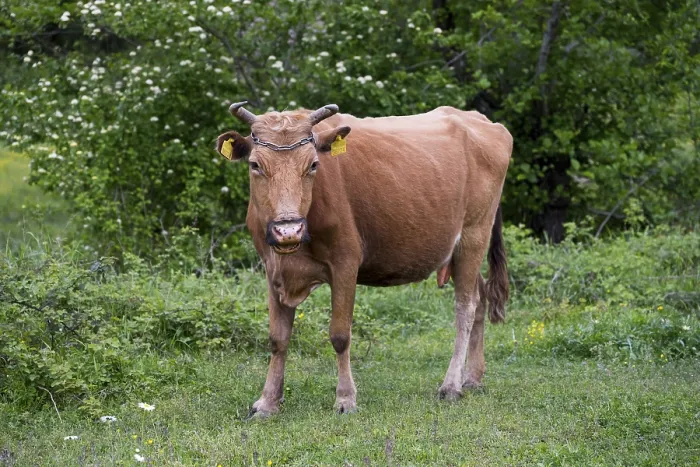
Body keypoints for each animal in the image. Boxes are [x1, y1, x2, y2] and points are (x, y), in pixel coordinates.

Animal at [215, 102, 512, 417]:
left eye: (313, 165)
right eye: (255, 165)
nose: (288, 230)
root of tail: (479, 119)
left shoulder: (345, 262)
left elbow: (340, 335)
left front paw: (346, 398)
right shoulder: (272, 268)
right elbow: (277, 338)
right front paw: (268, 401)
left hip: (474, 234)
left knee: (465, 307)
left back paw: (452, 385)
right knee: (480, 298)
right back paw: (473, 378)